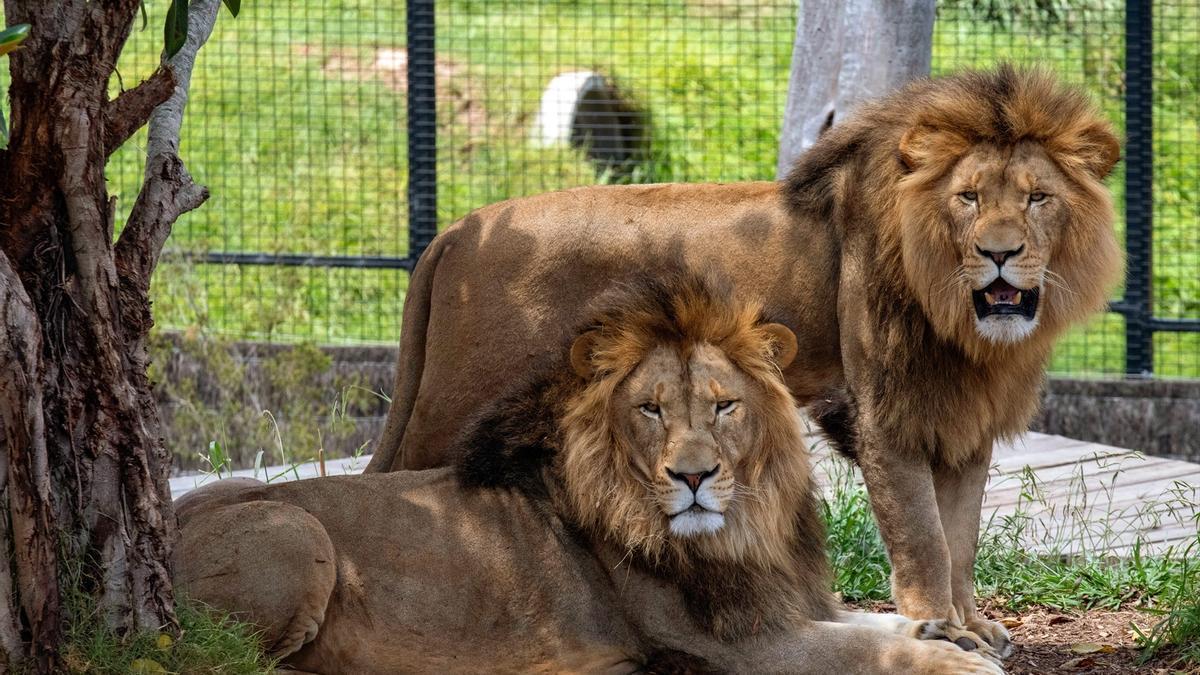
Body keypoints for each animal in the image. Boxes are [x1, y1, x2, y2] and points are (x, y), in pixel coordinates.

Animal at [175, 276, 1003, 667]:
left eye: (724, 405)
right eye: (651, 410)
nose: (693, 476)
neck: (744, 527)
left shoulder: (783, 601)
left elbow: (875, 621)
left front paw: (950, 630)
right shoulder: (734, 645)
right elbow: (867, 648)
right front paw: (951, 659)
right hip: (296, 530)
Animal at [367, 63, 1123, 653]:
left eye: (1037, 197)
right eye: (967, 198)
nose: (999, 252)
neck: (959, 320)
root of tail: (454, 233)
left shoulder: (963, 420)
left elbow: (960, 533)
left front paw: (972, 623)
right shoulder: (884, 414)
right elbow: (924, 536)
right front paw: (944, 628)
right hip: (452, 405)